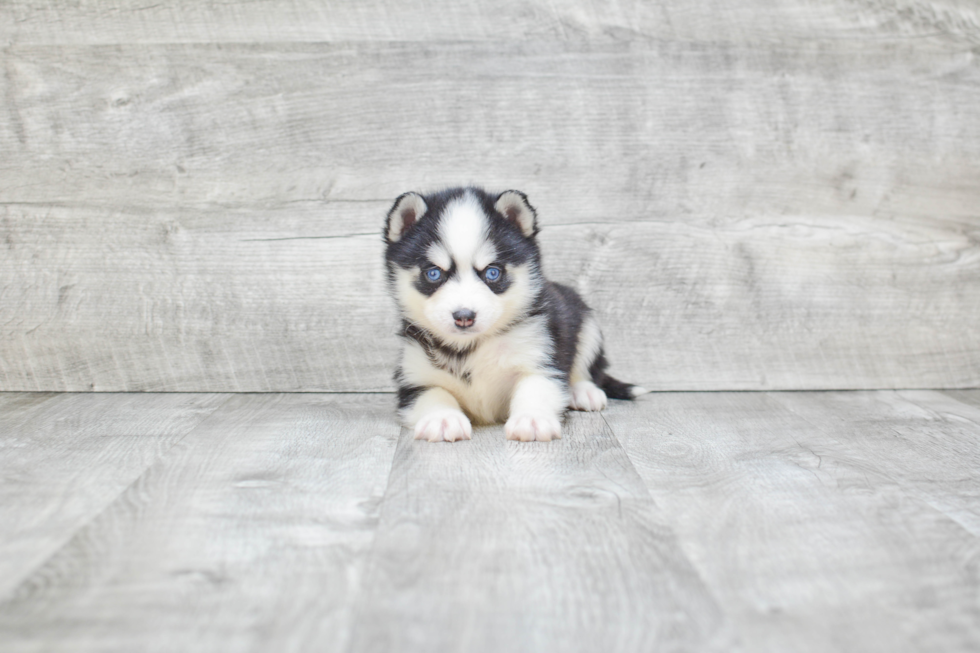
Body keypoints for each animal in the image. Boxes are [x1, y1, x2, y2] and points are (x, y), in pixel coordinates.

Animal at [382, 188, 644, 444]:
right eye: (434, 273)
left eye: (492, 272)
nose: (464, 316)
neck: (469, 348)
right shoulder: (414, 377)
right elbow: (433, 394)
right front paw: (443, 418)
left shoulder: (541, 358)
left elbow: (535, 387)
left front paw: (532, 419)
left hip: (584, 321)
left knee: (585, 366)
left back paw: (582, 391)